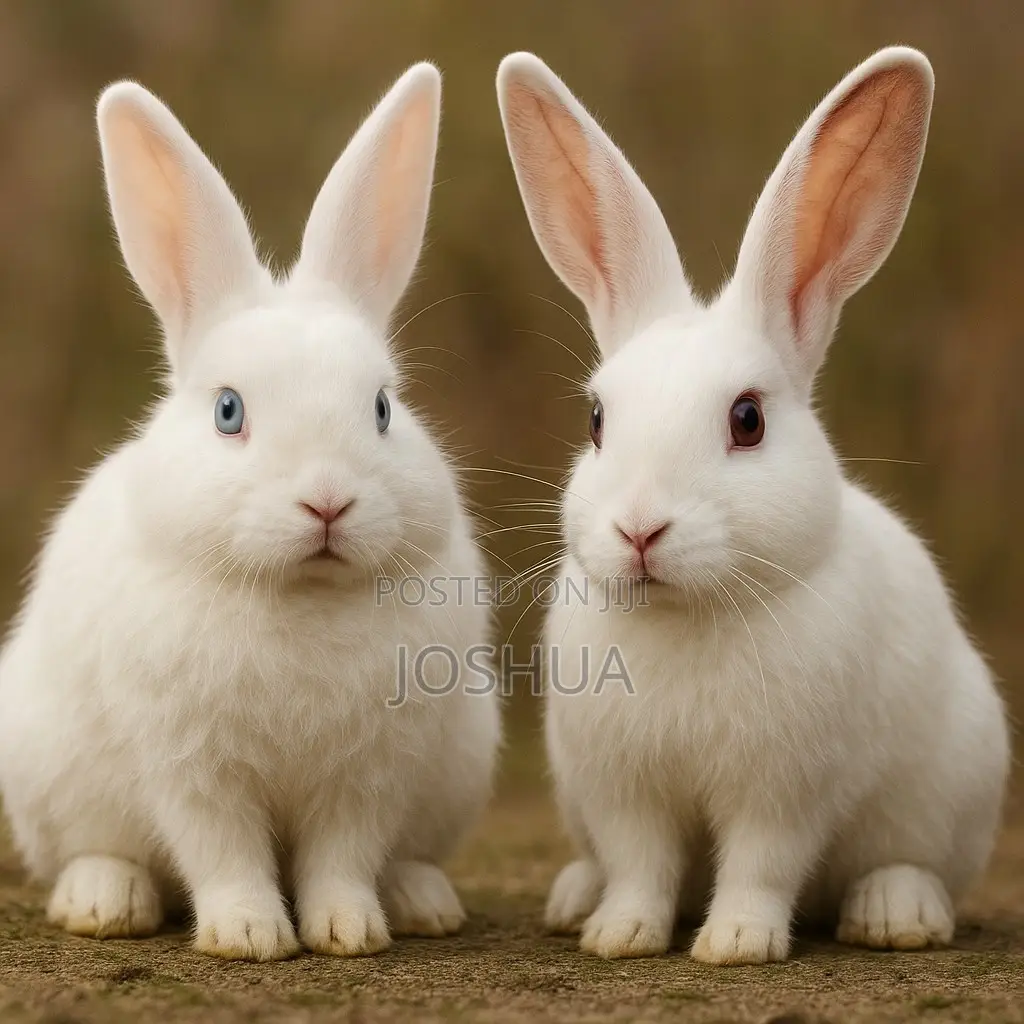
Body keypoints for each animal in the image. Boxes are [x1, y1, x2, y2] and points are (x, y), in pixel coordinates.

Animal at [0, 63, 501, 962]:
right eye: (228, 411)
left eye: (382, 407)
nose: (328, 501)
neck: (301, 595)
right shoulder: (193, 767)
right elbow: (223, 851)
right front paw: (250, 935)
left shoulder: (368, 774)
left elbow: (343, 857)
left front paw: (347, 931)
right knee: (96, 851)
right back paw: (105, 902)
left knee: (406, 856)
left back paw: (421, 903)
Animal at [496, 47, 1010, 965]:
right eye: (596, 421)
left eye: (747, 420)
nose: (640, 529)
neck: (686, 614)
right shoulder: (623, 791)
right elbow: (641, 866)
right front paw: (619, 935)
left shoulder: (783, 790)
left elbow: (759, 865)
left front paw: (735, 943)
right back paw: (574, 897)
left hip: (951, 786)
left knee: (912, 866)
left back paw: (895, 915)